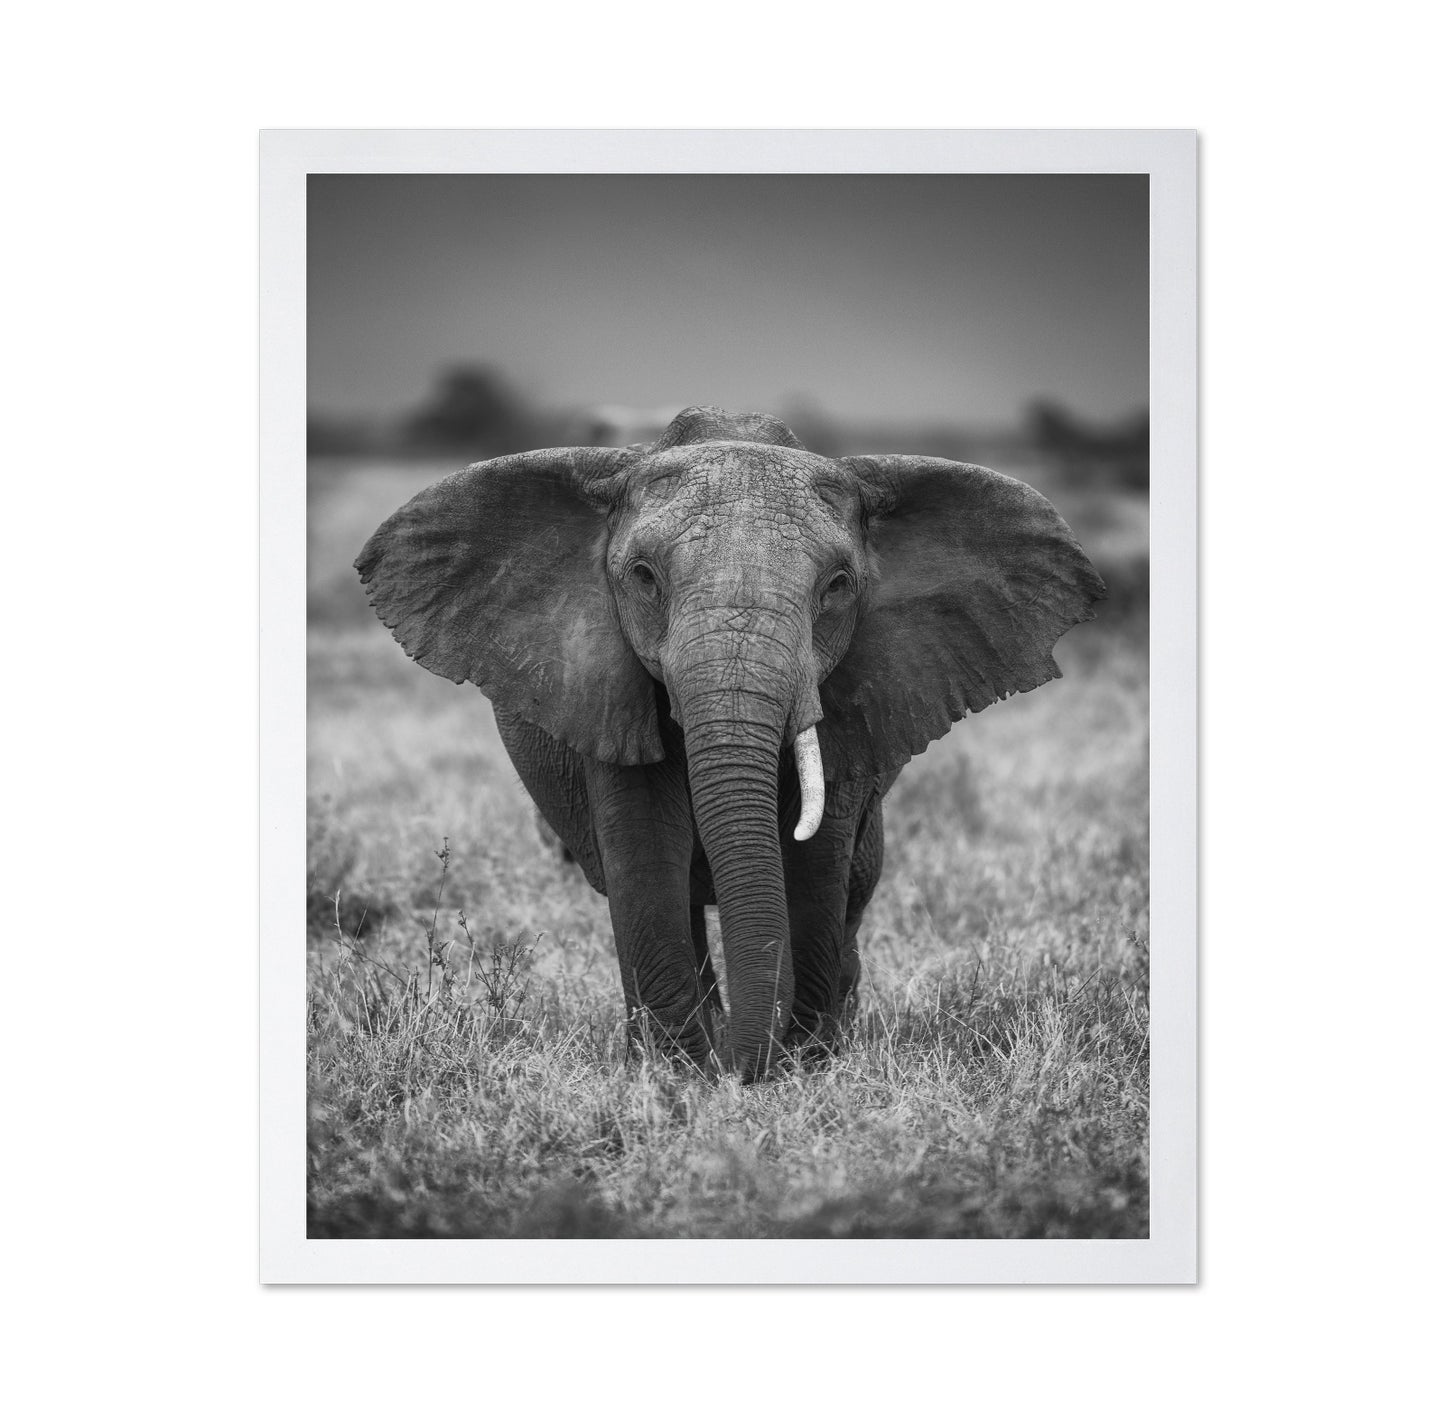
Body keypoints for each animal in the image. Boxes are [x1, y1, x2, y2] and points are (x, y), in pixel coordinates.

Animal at [356, 405, 1105, 1080]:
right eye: (643, 577)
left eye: (838, 586)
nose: (745, 1069)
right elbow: (644, 851)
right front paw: (680, 1074)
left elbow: (816, 861)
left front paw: (799, 1066)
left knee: (856, 885)